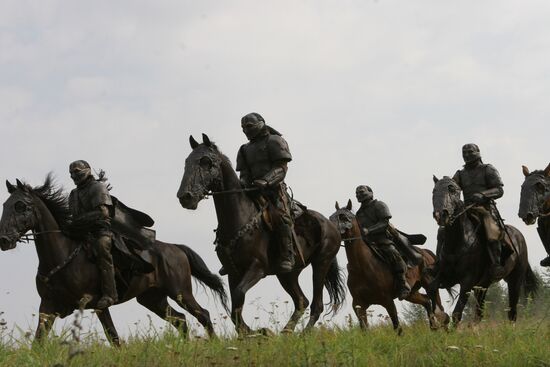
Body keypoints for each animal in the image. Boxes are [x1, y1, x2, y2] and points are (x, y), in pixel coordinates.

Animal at [0, 177, 229, 346]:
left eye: (20, 206)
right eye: (5, 205)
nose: (4, 240)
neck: (62, 255)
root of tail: (176, 248)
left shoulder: (98, 304)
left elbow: (113, 337)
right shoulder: (47, 307)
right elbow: (38, 341)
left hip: (180, 292)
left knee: (202, 314)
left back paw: (215, 345)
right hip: (153, 299)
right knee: (180, 320)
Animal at [179, 135, 348, 336]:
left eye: (206, 162)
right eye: (187, 162)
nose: (185, 197)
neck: (241, 217)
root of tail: (331, 225)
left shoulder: (257, 268)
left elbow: (239, 295)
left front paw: (258, 331)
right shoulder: (233, 272)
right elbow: (235, 309)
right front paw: (253, 332)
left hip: (321, 262)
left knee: (316, 304)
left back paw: (303, 334)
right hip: (288, 274)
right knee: (301, 301)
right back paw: (286, 332)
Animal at [330, 200, 450, 334]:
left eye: (344, 217)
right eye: (331, 217)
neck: (361, 266)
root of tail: (426, 253)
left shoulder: (387, 301)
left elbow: (397, 327)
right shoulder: (358, 305)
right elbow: (364, 330)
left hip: (430, 286)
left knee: (440, 308)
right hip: (411, 293)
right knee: (426, 301)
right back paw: (433, 328)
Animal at [432, 177, 540, 324]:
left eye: (452, 190)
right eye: (434, 191)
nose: (440, 214)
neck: (459, 242)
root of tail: (519, 237)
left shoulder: (467, 283)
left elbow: (456, 313)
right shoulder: (444, 277)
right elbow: (432, 290)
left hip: (515, 281)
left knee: (512, 312)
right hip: (483, 286)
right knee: (479, 314)